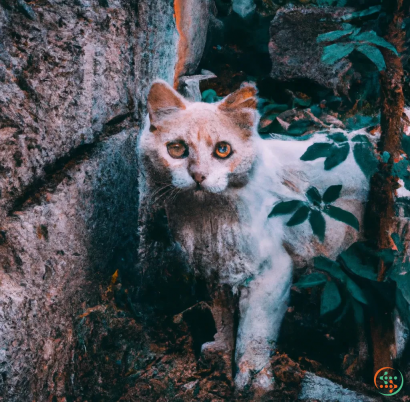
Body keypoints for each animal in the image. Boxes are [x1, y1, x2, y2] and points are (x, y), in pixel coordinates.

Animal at [137, 79, 368, 392]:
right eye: (176, 149)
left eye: (223, 150)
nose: (198, 177)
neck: (207, 217)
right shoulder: (216, 270)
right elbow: (223, 318)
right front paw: (221, 352)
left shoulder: (270, 271)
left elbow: (253, 332)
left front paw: (253, 379)